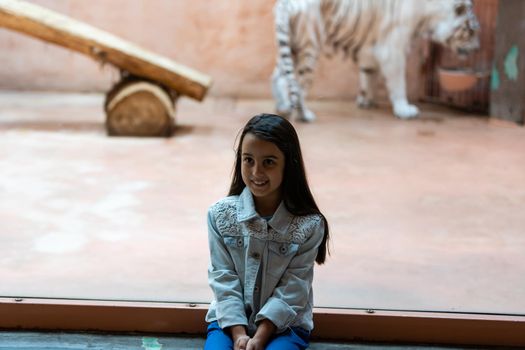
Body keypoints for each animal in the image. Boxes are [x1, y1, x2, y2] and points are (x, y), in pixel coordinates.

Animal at [272, 0, 482, 121]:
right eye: (471, 31)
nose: (478, 48)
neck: (429, 18)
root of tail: (285, 4)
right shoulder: (394, 48)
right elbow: (398, 83)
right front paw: (404, 110)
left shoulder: (370, 50)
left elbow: (368, 76)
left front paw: (366, 101)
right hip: (309, 46)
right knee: (299, 85)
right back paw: (303, 114)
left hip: (292, 46)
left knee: (279, 78)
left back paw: (282, 108)